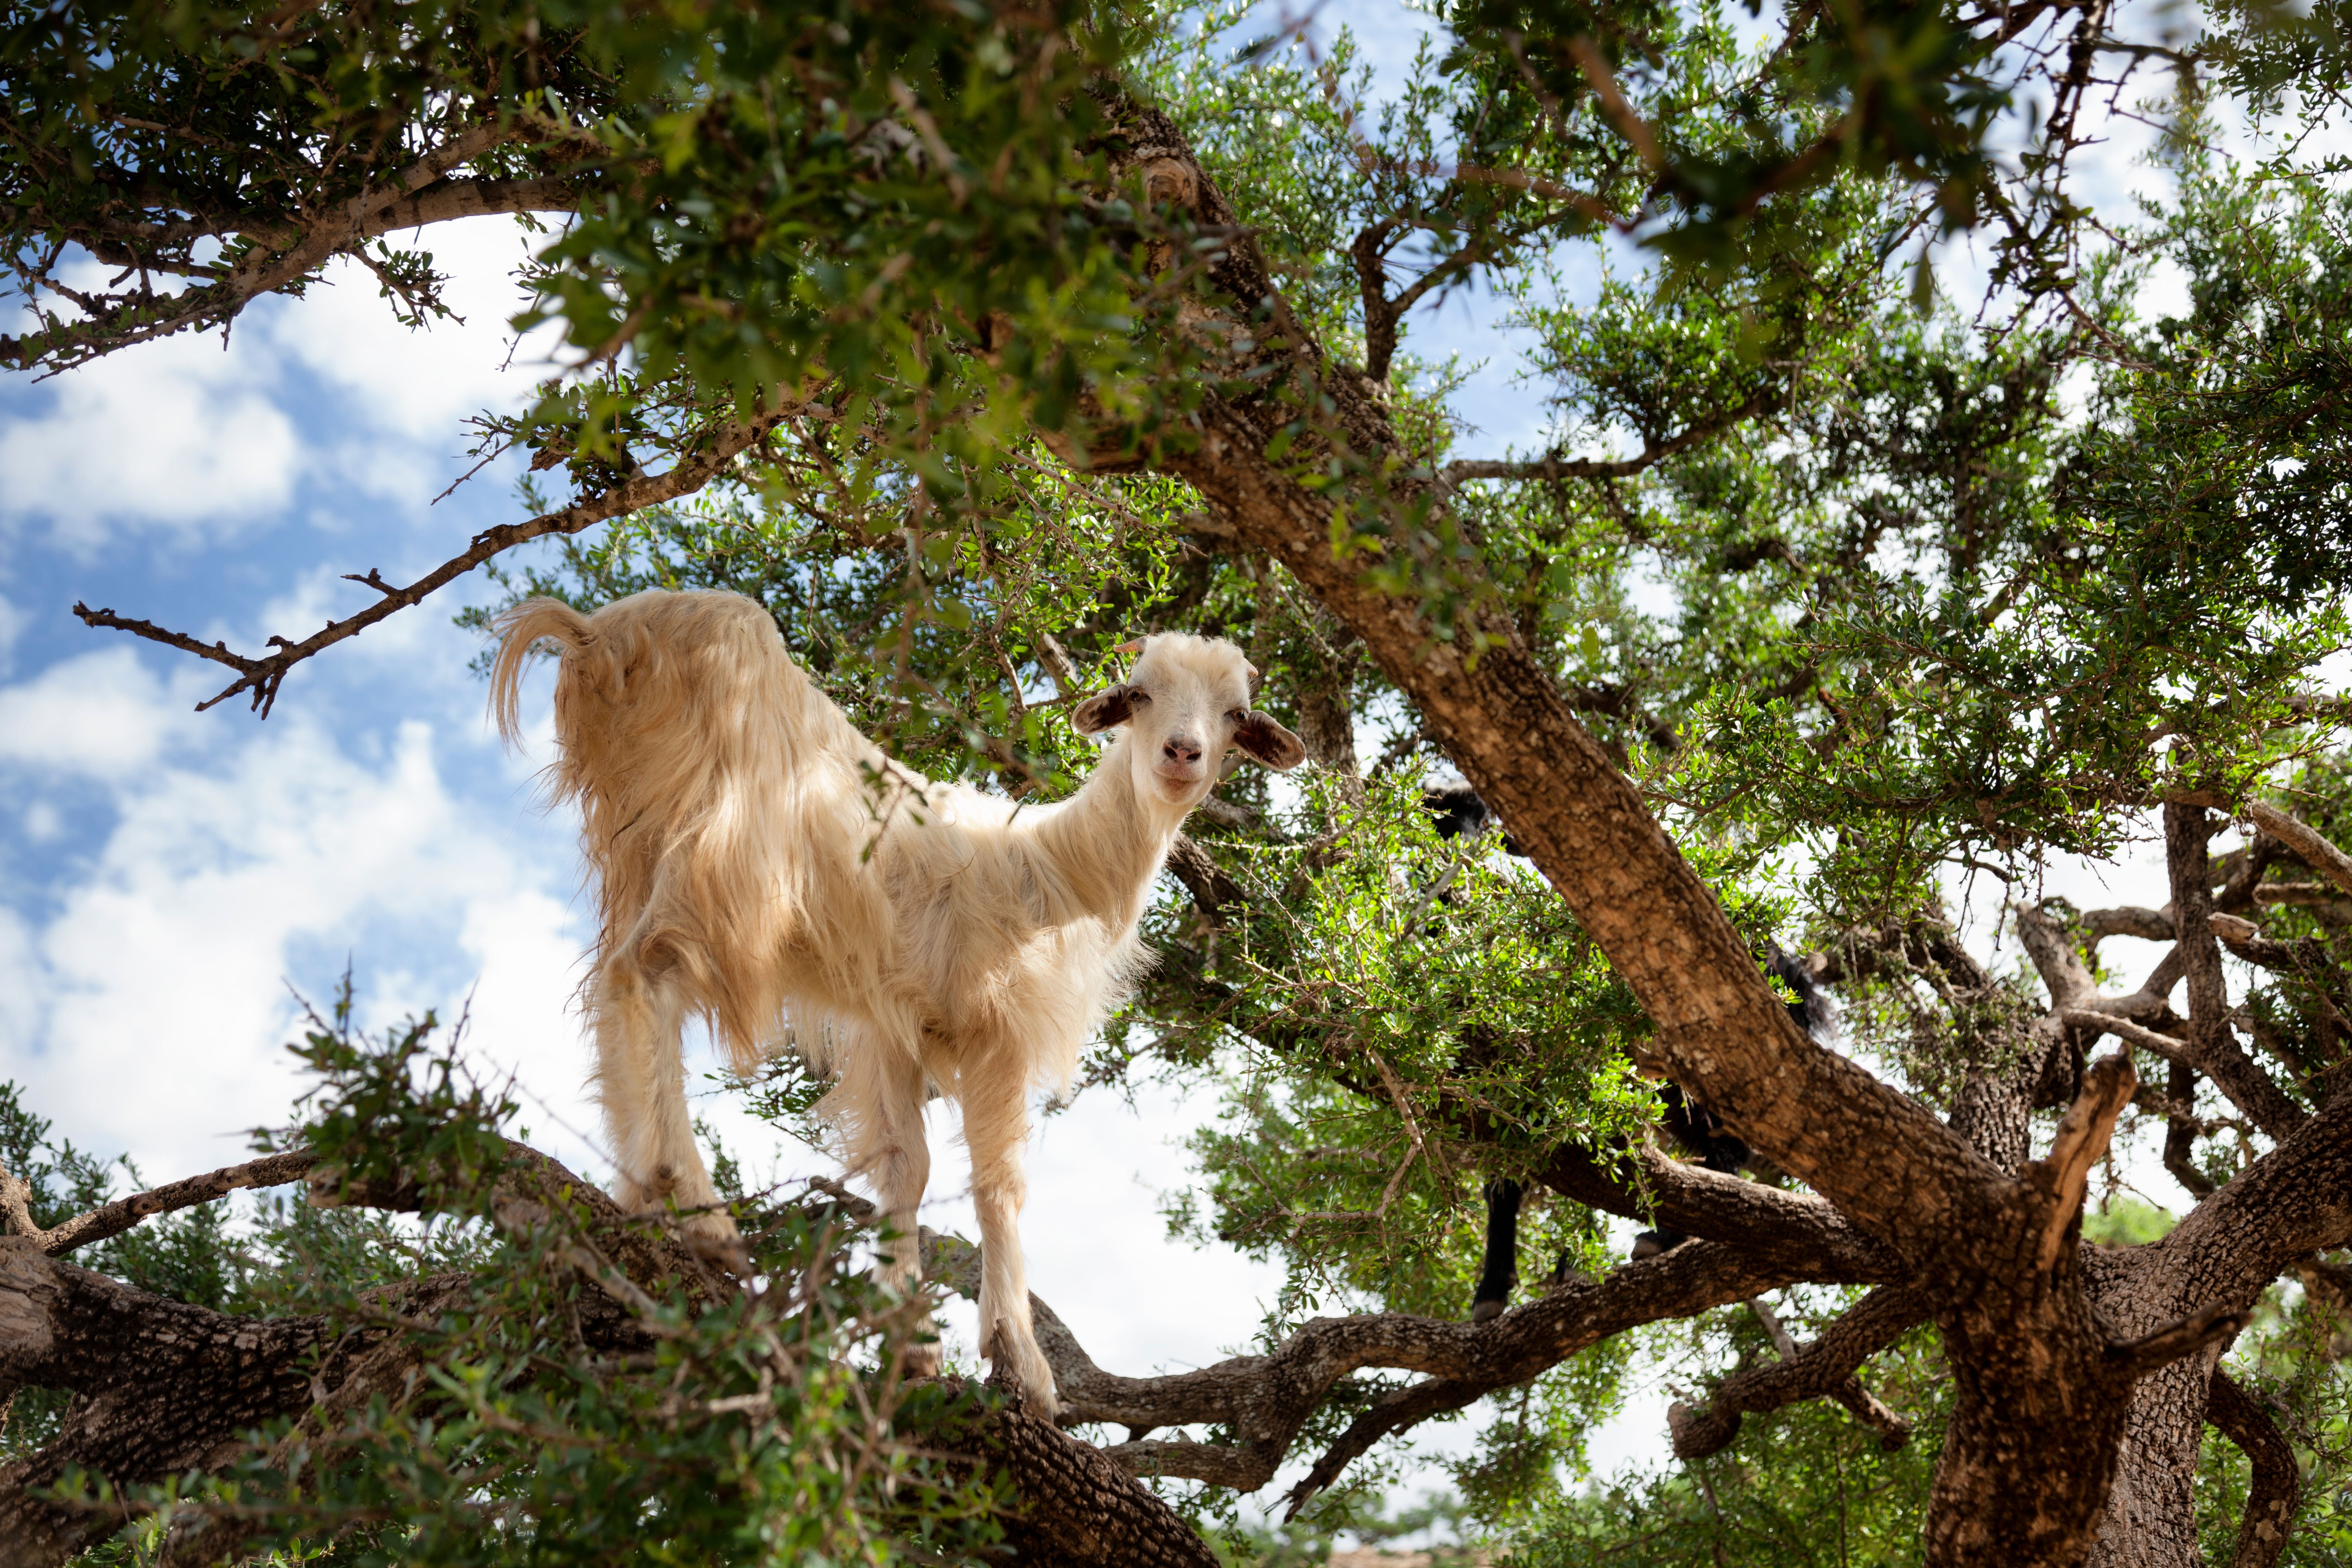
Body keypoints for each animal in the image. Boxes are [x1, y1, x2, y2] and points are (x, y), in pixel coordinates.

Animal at [489, 589, 1303, 1413]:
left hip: (638, 844)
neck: (1052, 873)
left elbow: (904, 1167)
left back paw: (637, 1193)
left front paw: (910, 1339)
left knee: (613, 986)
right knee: (644, 975)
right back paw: (692, 1204)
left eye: (1236, 714)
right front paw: (1021, 1361)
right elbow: (999, 1187)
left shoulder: (894, 1026)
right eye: (1138, 695)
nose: (1181, 754)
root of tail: (602, 634)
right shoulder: (995, 1028)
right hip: (731, 858)